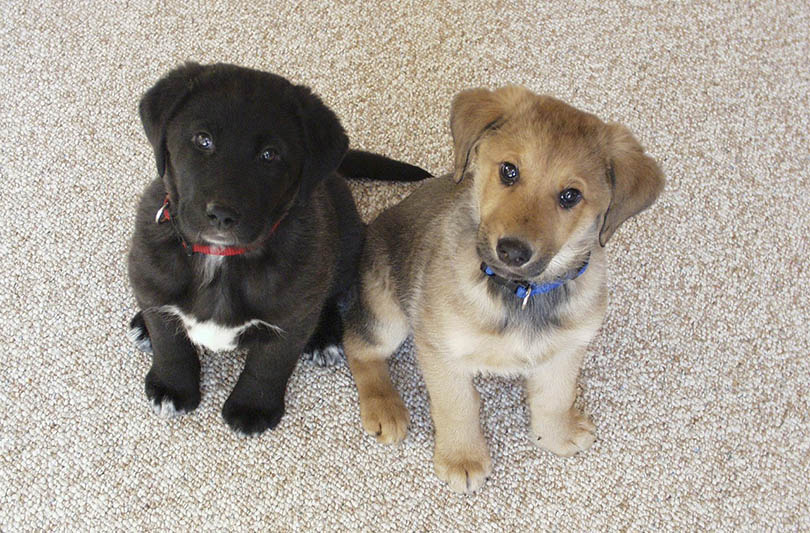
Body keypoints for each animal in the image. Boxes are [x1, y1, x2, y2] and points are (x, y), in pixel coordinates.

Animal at [126, 63, 430, 436]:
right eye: (202, 140)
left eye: (270, 155)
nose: (222, 214)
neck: (220, 260)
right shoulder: (151, 281)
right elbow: (171, 344)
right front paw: (173, 386)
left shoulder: (292, 317)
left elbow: (269, 364)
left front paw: (252, 407)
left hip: (346, 245)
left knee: (330, 295)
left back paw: (324, 337)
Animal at [340, 86, 664, 490]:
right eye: (509, 171)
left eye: (570, 196)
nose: (511, 250)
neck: (520, 294)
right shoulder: (441, 350)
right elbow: (457, 406)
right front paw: (462, 457)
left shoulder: (566, 349)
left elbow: (555, 397)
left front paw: (555, 435)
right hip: (388, 317)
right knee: (359, 346)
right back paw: (384, 406)